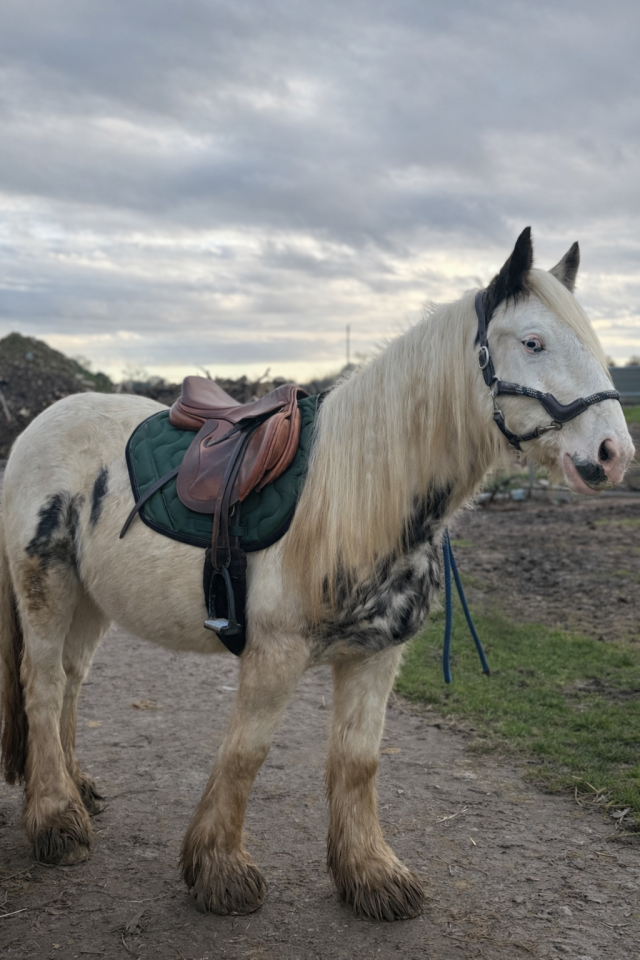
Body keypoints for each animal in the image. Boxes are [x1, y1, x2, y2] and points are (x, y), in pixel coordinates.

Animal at [0, 228, 634, 922]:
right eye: (533, 341)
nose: (614, 454)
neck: (360, 496)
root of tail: (42, 421)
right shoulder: (274, 655)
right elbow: (246, 752)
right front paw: (220, 871)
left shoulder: (376, 657)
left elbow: (357, 761)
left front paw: (371, 876)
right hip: (46, 588)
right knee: (42, 685)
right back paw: (56, 820)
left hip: (91, 601)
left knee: (70, 681)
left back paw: (74, 790)